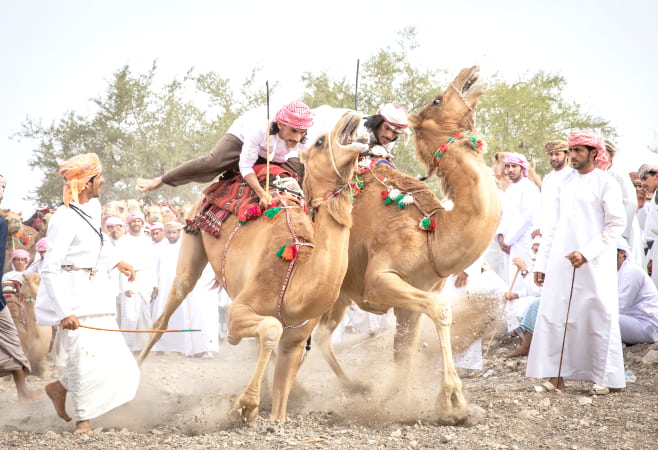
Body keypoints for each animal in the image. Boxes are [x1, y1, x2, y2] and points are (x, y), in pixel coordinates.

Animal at [137, 110, 368, 422]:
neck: (294, 276)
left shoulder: (297, 339)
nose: (351, 115)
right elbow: (270, 328)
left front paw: (268, 409)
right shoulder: (239, 310)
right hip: (191, 239)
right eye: (320, 142)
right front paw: (245, 404)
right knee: (166, 313)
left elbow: (281, 396)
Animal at [312, 66, 501, 424]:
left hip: (339, 293)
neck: (432, 235)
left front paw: (395, 402)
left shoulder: (415, 294)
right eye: (438, 100)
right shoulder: (379, 280)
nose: (470, 73)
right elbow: (441, 311)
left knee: (321, 336)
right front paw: (453, 403)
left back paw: (356, 388)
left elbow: (405, 352)